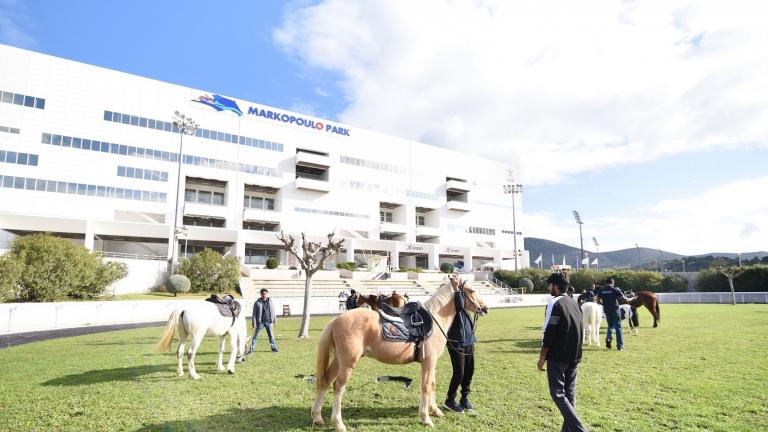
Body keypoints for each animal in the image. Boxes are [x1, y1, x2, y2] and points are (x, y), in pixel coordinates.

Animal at [310, 276, 486, 432]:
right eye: (471, 290)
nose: (484, 308)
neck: (435, 321)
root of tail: (337, 319)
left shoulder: (432, 363)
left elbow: (432, 385)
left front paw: (435, 411)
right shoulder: (428, 362)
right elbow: (426, 386)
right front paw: (426, 418)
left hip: (338, 361)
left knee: (325, 381)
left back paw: (318, 418)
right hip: (348, 363)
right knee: (338, 386)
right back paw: (338, 424)